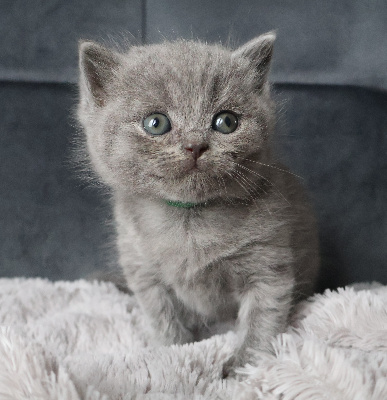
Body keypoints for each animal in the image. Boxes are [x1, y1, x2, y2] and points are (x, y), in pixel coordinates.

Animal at [77, 31, 320, 376]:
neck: (190, 221)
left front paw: (242, 367)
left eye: (226, 121)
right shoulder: (144, 271)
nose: (195, 145)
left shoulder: (267, 263)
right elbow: (163, 320)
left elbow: (261, 320)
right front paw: (172, 354)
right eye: (155, 123)